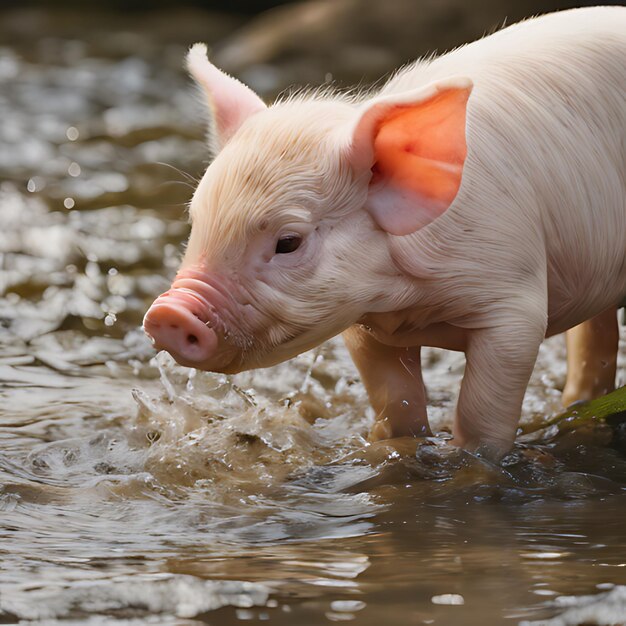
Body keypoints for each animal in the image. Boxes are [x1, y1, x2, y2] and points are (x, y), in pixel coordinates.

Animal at [143, 6, 624, 458]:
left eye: (288, 242)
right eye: (196, 222)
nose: (168, 313)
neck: (406, 299)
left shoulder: (513, 295)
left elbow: (483, 408)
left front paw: (468, 457)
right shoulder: (365, 324)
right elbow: (395, 398)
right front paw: (398, 445)